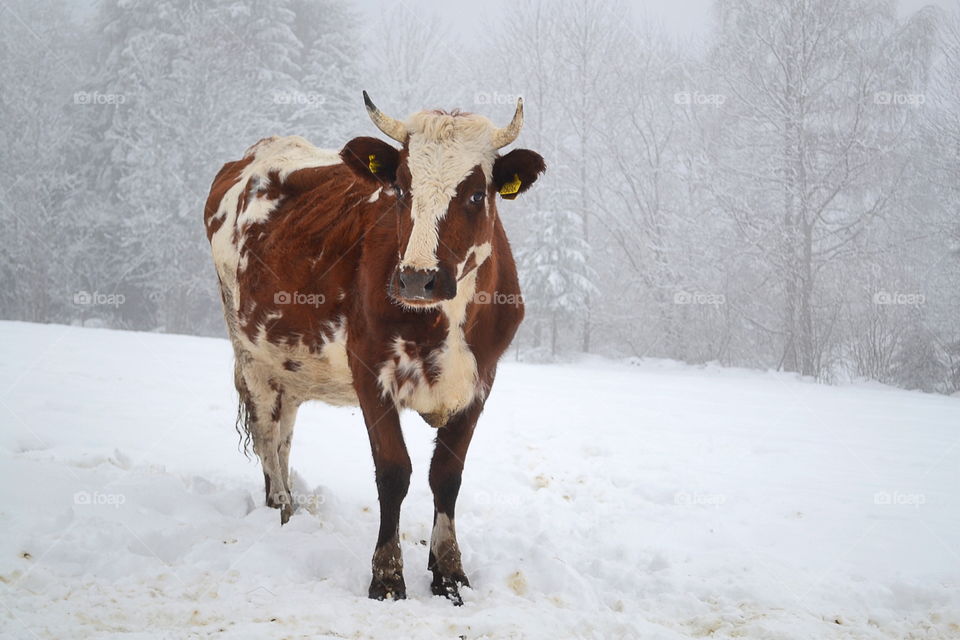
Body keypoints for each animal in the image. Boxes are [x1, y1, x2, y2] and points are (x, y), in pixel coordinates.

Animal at [203, 92, 544, 604]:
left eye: (475, 195)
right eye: (401, 189)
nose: (417, 278)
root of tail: (263, 148)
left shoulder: (480, 381)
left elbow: (447, 476)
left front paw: (449, 573)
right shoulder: (370, 372)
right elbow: (394, 471)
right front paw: (387, 577)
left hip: (291, 366)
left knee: (283, 437)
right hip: (252, 356)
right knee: (266, 435)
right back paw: (281, 508)